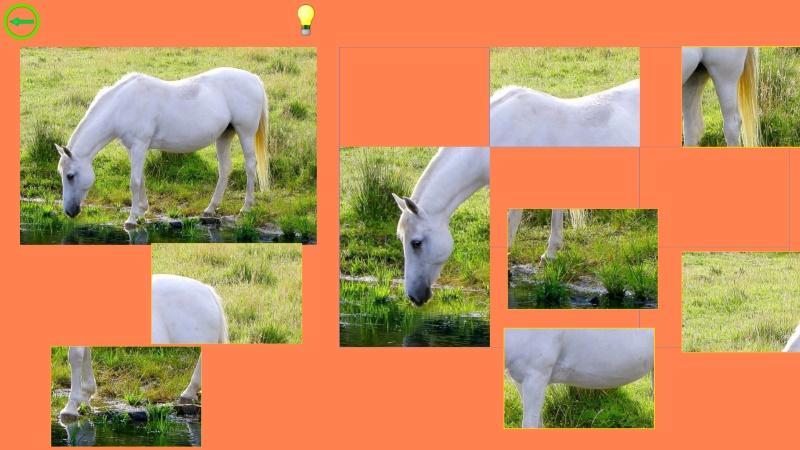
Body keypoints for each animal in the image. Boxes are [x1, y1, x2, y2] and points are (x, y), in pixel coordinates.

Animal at [53, 67, 270, 228]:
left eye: (70, 176)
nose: (69, 212)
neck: (123, 104)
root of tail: (253, 79)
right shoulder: (133, 148)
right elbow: (141, 179)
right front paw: (142, 209)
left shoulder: (139, 145)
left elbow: (134, 181)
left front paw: (131, 219)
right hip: (224, 136)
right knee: (225, 169)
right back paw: (210, 209)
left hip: (245, 133)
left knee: (250, 167)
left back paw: (246, 207)